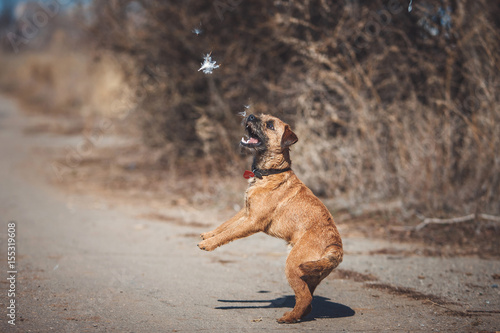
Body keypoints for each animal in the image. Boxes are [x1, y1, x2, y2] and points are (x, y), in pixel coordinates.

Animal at [197, 113, 342, 322]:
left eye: (270, 125)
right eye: (261, 116)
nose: (250, 115)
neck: (270, 172)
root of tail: (336, 247)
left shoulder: (252, 221)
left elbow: (229, 233)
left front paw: (208, 244)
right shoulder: (246, 212)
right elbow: (226, 225)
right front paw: (209, 235)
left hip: (293, 266)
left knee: (305, 297)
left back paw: (288, 318)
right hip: (310, 274)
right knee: (308, 299)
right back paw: (296, 316)